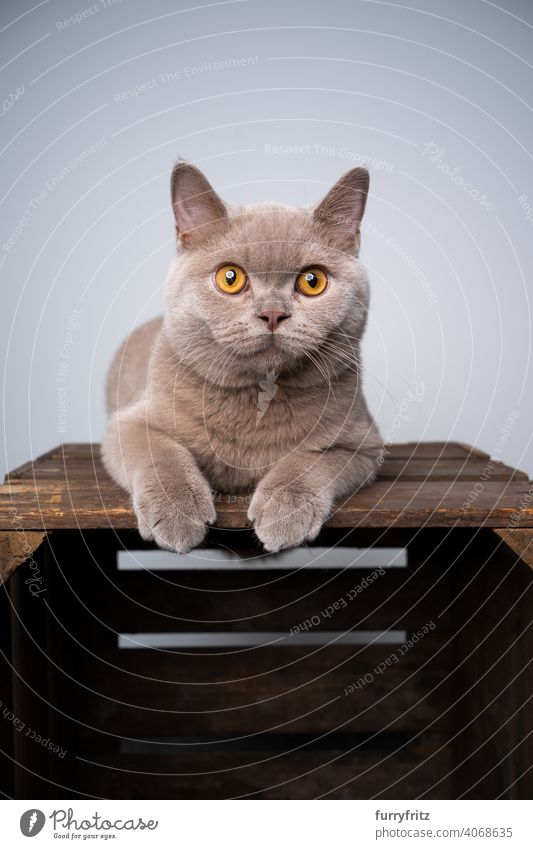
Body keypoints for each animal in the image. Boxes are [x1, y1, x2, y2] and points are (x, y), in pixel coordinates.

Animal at [101, 161, 382, 552]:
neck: (256, 399)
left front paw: (284, 510)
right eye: (230, 278)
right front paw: (177, 512)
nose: (272, 313)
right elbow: (161, 453)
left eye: (313, 281)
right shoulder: (128, 424)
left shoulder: (362, 445)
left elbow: (311, 460)